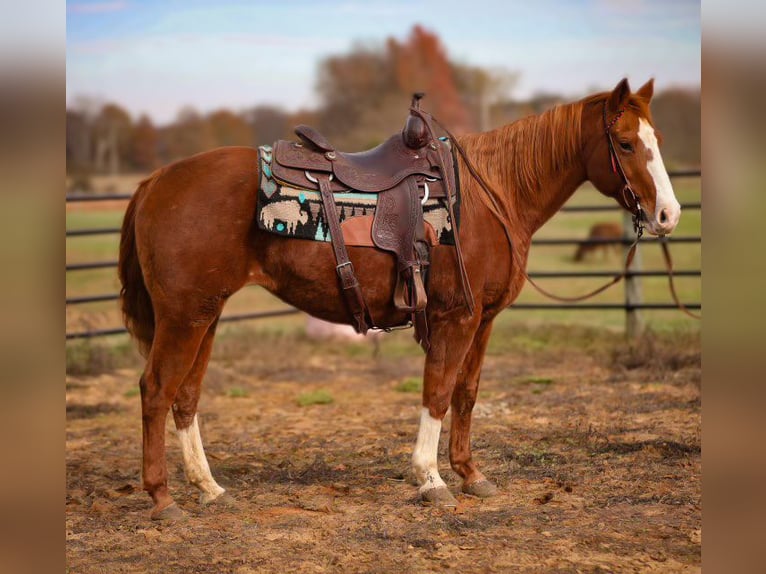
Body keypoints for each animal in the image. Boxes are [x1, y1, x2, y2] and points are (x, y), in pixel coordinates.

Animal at [118, 78, 681, 520]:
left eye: (656, 139)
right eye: (625, 144)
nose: (668, 215)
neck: (493, 194)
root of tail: (156, 181)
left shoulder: (484, 320)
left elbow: (466, 393)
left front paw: (470, 474)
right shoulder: (457, 318)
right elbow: (437, 393)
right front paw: (430, 480)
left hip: (205, 316)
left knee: (186, 397)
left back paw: (210, 490)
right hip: (184, 317)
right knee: (157, 390)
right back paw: (163, 499)